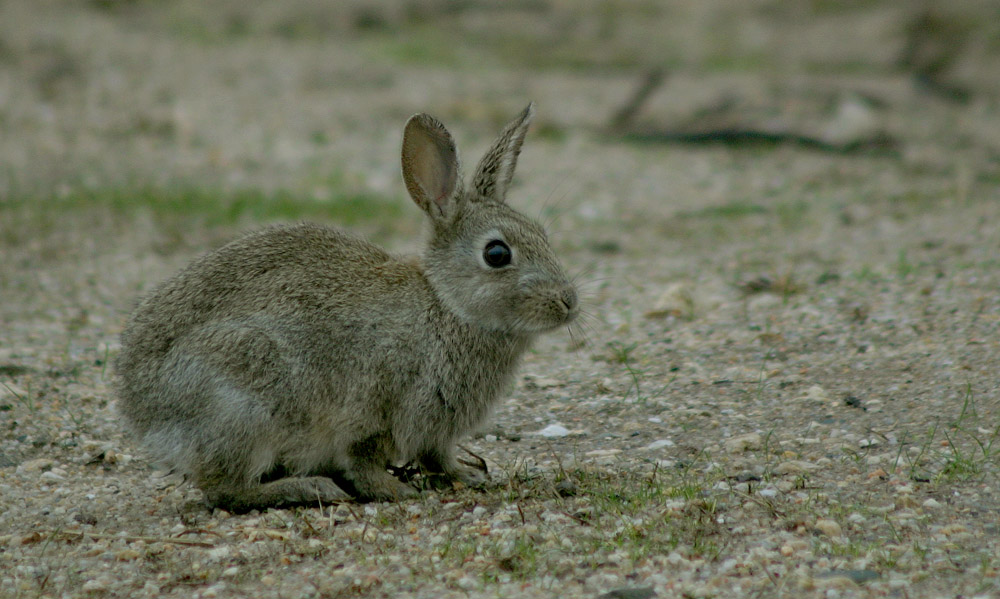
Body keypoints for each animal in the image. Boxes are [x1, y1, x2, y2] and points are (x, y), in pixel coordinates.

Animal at [115, 103, 579, 512]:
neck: (445, 304)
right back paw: (308, 488)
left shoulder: (434, 431)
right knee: (224, 488)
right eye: (497, 254)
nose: (568, 303)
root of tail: (144, 414)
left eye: (543, 236)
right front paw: (395, 491)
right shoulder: (373, 405)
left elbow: (437, 457)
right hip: (244, 402)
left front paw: (468, 475)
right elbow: (365, 459)